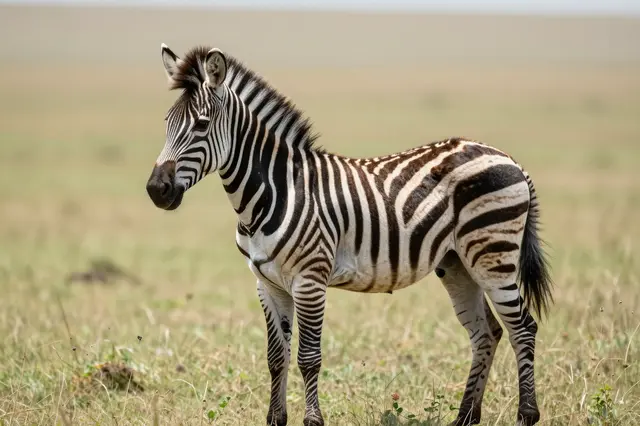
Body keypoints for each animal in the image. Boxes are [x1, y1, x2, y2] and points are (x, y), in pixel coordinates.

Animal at [145, 44, 553, 426]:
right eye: (166, 122)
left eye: (201, 125)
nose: (156, 190)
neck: (276, 191)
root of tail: (509, 159)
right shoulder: (267, 284)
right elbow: (276, 358)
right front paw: (276, 419)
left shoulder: (310, 280)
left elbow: (308, 357)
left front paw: (313, 420)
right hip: (457, 264)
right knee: (486, 333)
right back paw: (465, 416)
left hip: (493, 255)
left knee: (522, 328)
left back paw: (526, 415)